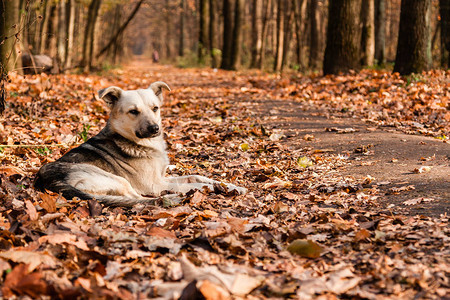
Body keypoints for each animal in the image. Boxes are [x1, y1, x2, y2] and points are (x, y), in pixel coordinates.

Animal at [34, 82, 246, 206]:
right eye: (133, 111)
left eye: (155, 108)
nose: (154, 128)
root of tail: (47, 180)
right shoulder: (155, 184)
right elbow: (193, 185)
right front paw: (213, 189)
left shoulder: (162, 177)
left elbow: (196, 176)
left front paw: (229, 186)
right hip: (117, 179)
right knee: (138, 200)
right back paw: (168, 199)